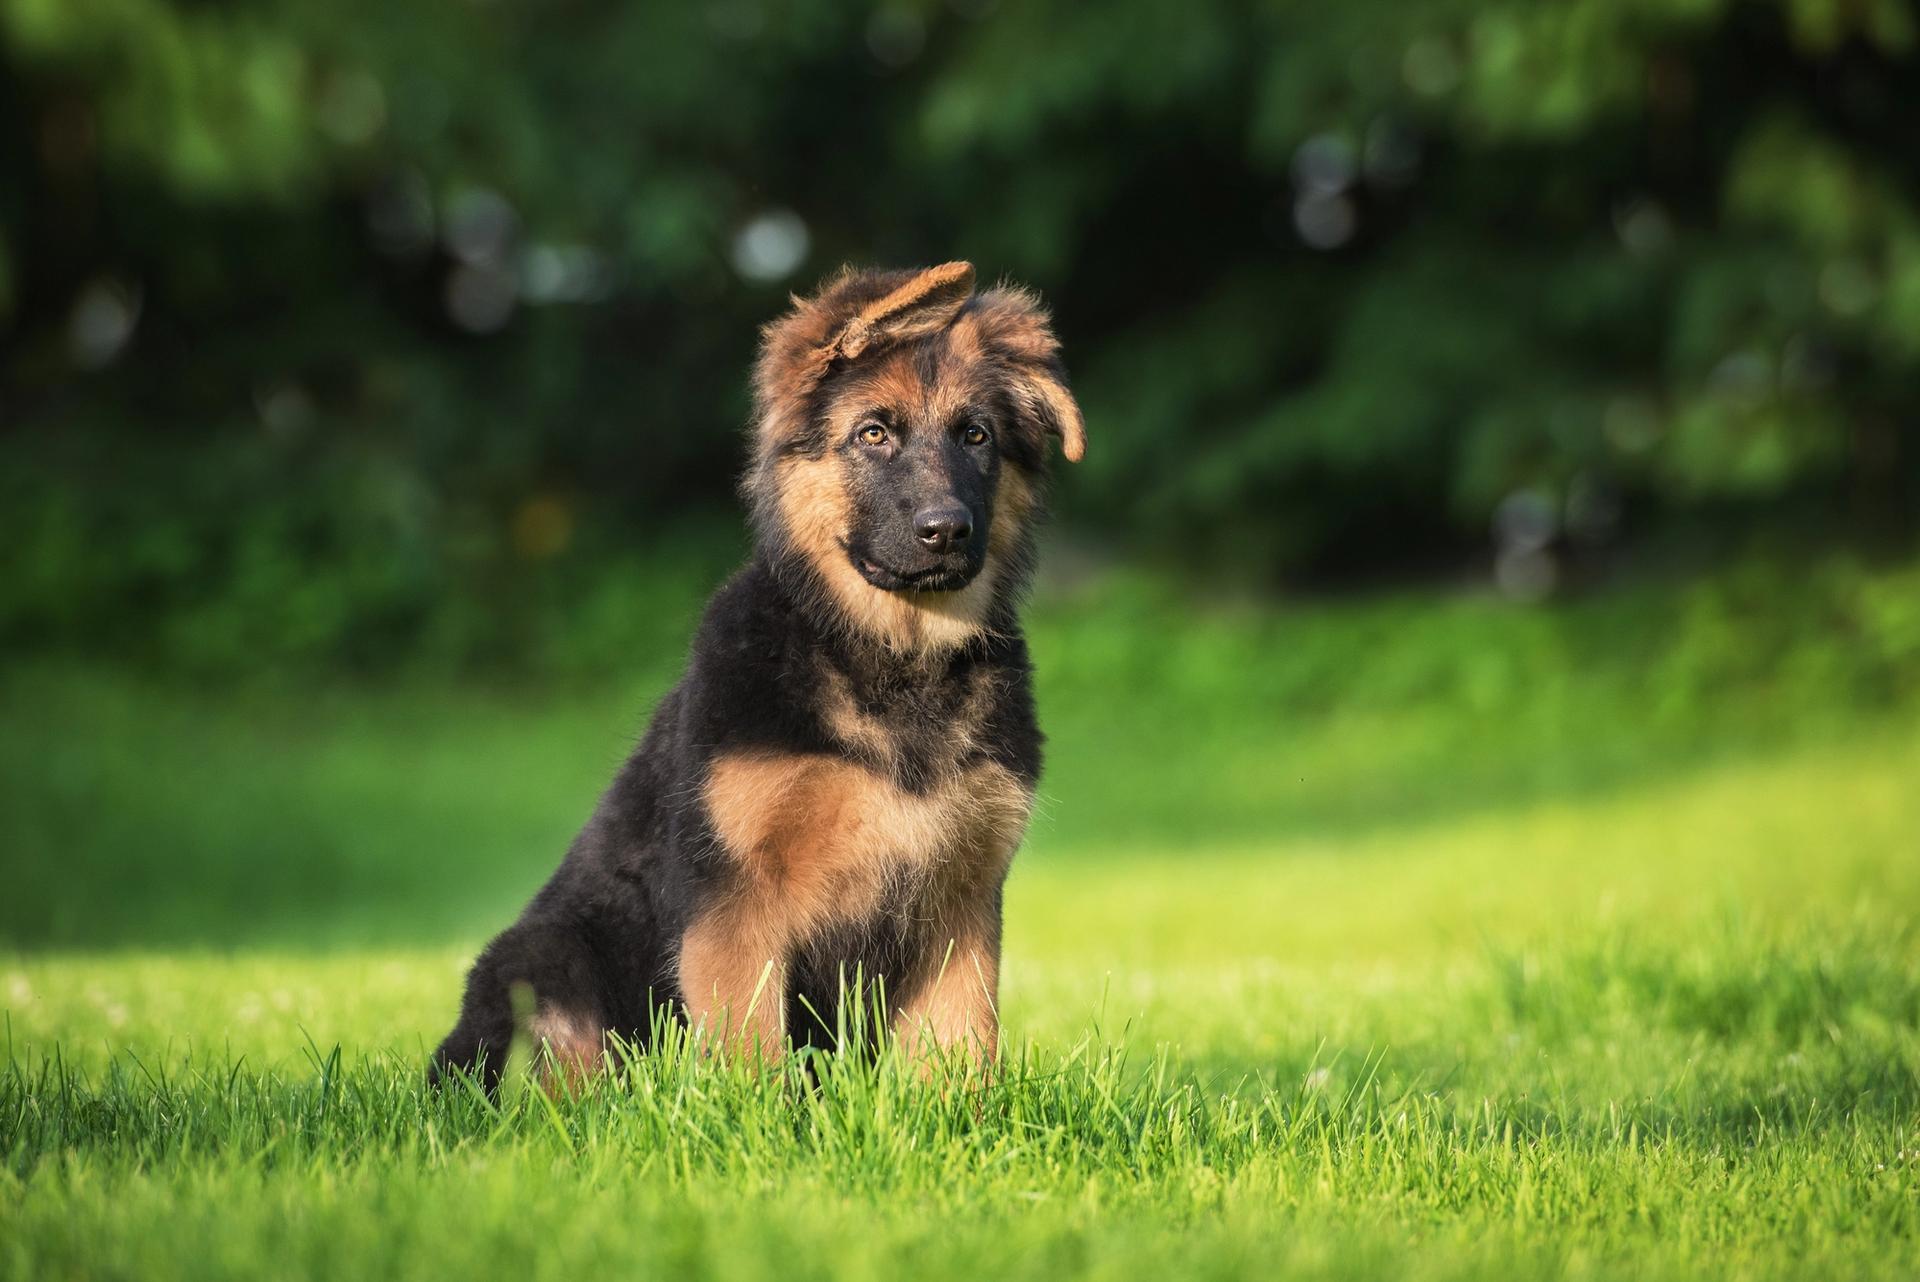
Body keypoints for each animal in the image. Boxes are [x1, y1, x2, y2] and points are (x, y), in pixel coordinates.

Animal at [433, 264, 1082, 1090]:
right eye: (873, 434)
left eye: (977, 437)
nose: (946, 531)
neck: (893, 661)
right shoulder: (736, 899)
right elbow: (752, 1051)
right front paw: (759, 1112)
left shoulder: (960, 903)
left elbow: (961, 1047)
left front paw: (961, 1113)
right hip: (546, 961)